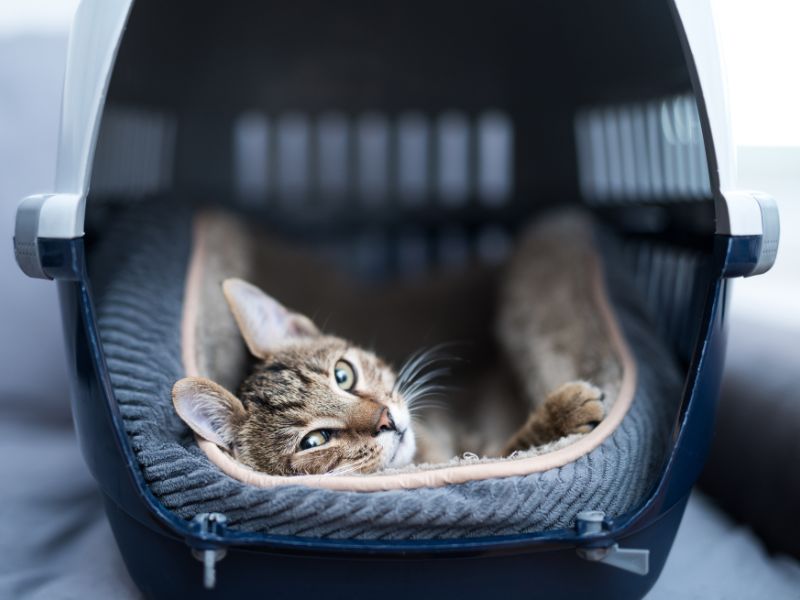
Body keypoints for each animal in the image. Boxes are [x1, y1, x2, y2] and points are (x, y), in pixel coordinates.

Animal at [172, 270, 604, 474]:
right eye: (314, 441)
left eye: (343, 375)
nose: (386, 419)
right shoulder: (475, 453)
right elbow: (507, 450)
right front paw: (561, 415)